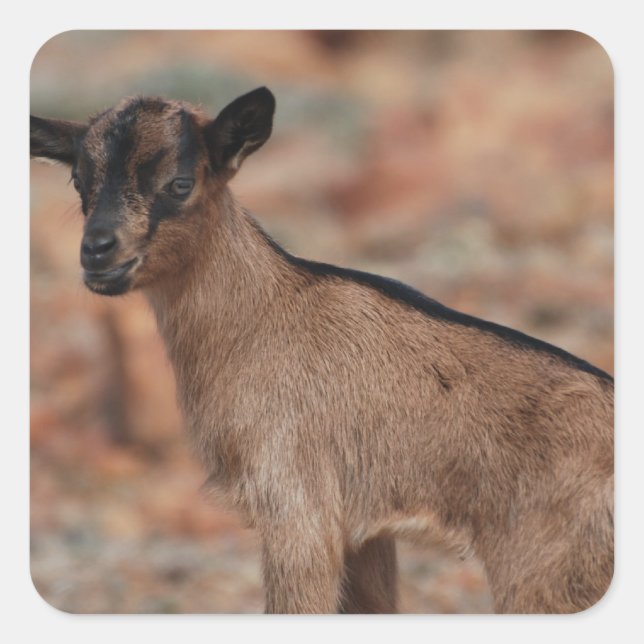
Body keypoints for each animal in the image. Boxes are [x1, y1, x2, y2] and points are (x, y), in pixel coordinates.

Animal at [30, 87, 614, 613]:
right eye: (79, 180)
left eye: (180, 182)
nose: (97, 252)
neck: (262, 317)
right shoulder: (363, 532)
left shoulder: (297, 512)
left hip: (545, 574)